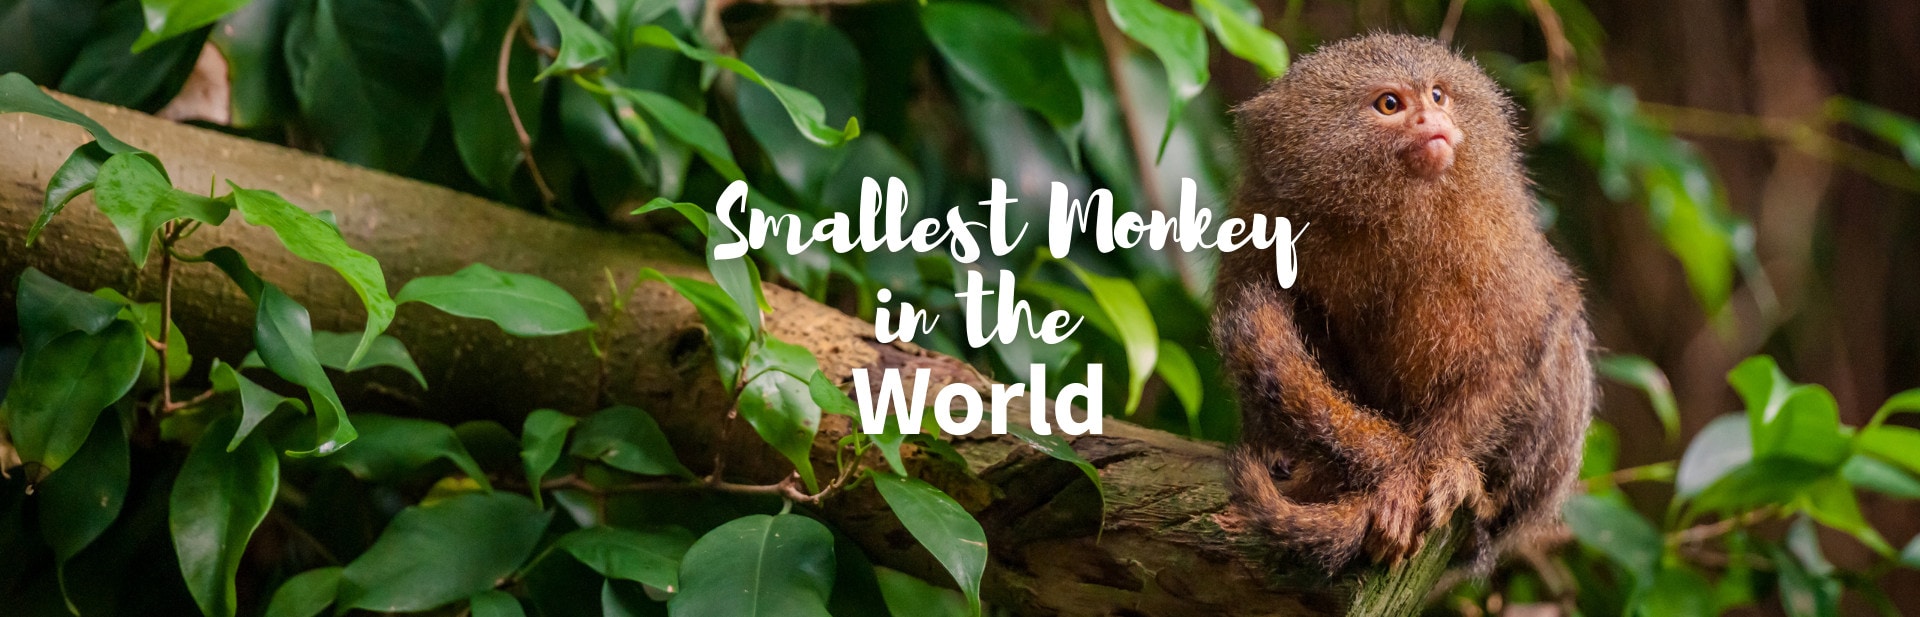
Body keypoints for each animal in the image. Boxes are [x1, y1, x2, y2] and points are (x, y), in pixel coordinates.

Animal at [1213, 34, 1594, 574]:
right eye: (1390, 104)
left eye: (1437, 95)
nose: (1432, 120)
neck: (1390, 214)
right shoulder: (1263, 218)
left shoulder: (1497, 243)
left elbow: (1512, 354)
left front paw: (1418, 474)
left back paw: (1481, 497)